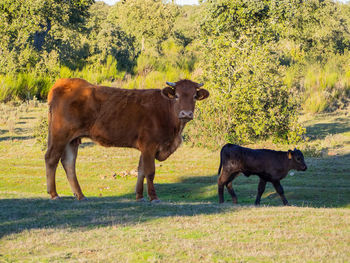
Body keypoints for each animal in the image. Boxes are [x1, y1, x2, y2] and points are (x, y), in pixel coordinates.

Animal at [43, 78, 208, 202]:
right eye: (177, 95)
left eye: (194, 96)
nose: (186, 113)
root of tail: (65, 83)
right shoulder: (149, 145)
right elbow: (150, 172)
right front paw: (153, 197)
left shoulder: (145, 147)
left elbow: (141, 170)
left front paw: (139, 196)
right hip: (60, 134)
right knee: (51, 158)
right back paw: (54, 194)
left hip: (72, 139)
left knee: (69, 163)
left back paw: (80, 195)